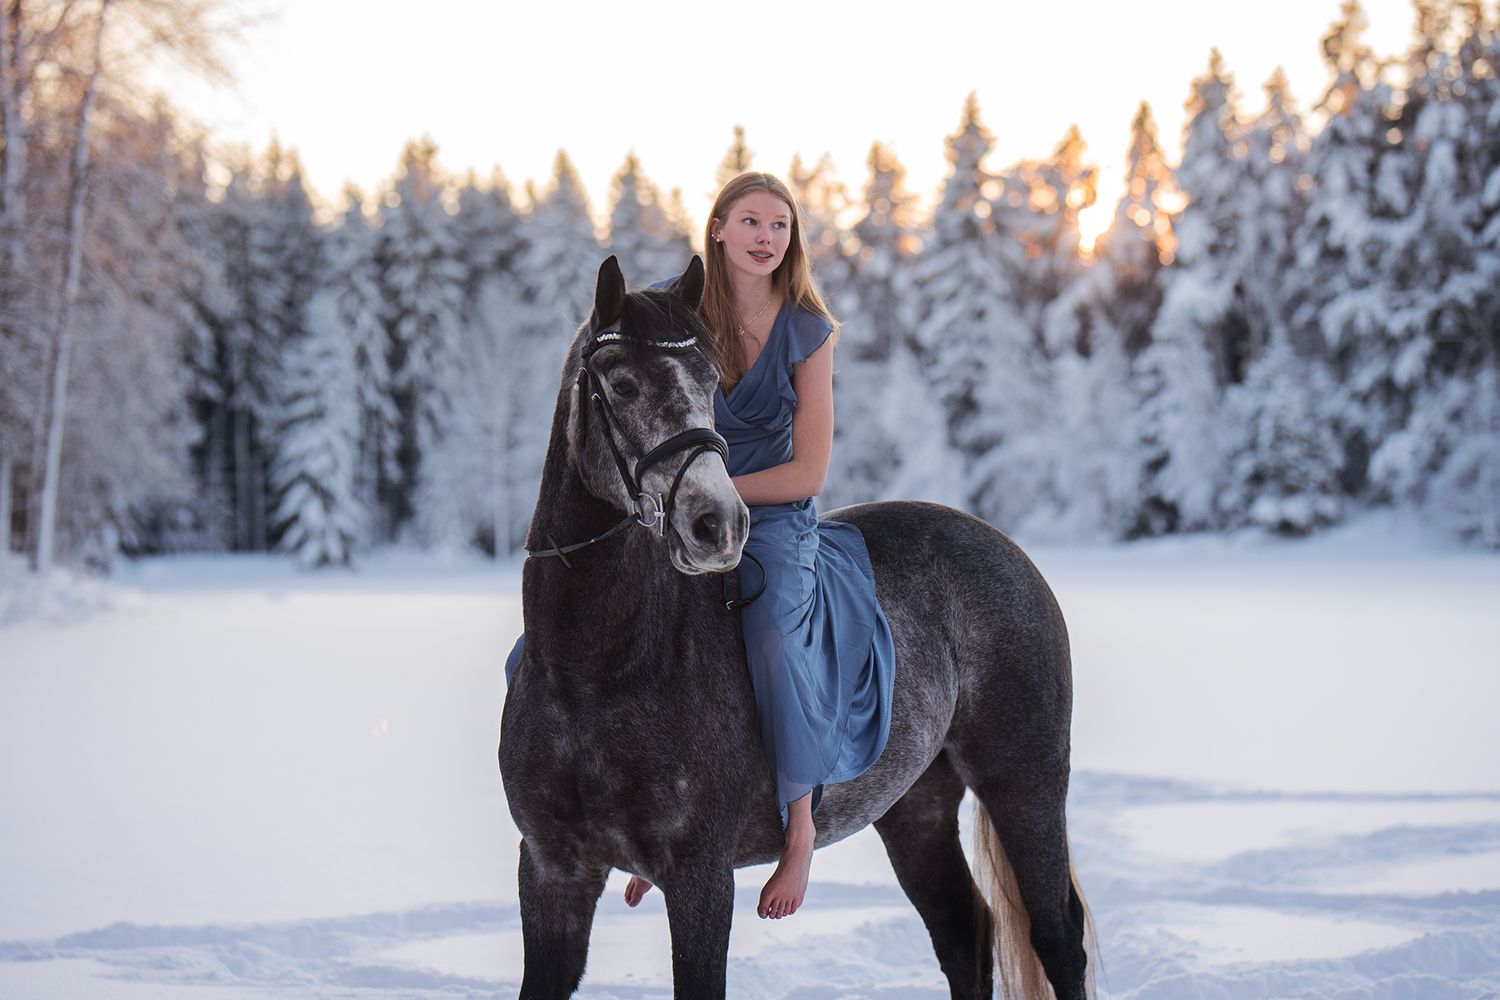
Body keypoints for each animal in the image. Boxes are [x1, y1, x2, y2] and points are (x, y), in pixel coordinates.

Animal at [498, 254, 1093, 999]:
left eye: (709, 383)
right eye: (623, 384)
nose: (716, 524)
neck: (596, 671)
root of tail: (1008, 550)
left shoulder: (700, 878)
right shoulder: (552, 870)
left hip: (1024, 780)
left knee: (1056, 936)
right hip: (916, 808)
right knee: (965, 933)